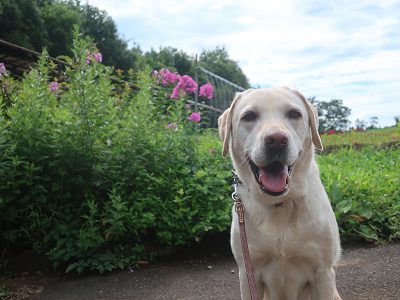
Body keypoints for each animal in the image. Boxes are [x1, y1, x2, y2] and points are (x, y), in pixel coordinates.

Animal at [219, 86, 340, 300]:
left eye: (294, 114)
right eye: (248, 116)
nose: (276, 140)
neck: (282, 203)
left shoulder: (323, 274)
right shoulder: (248, 274)